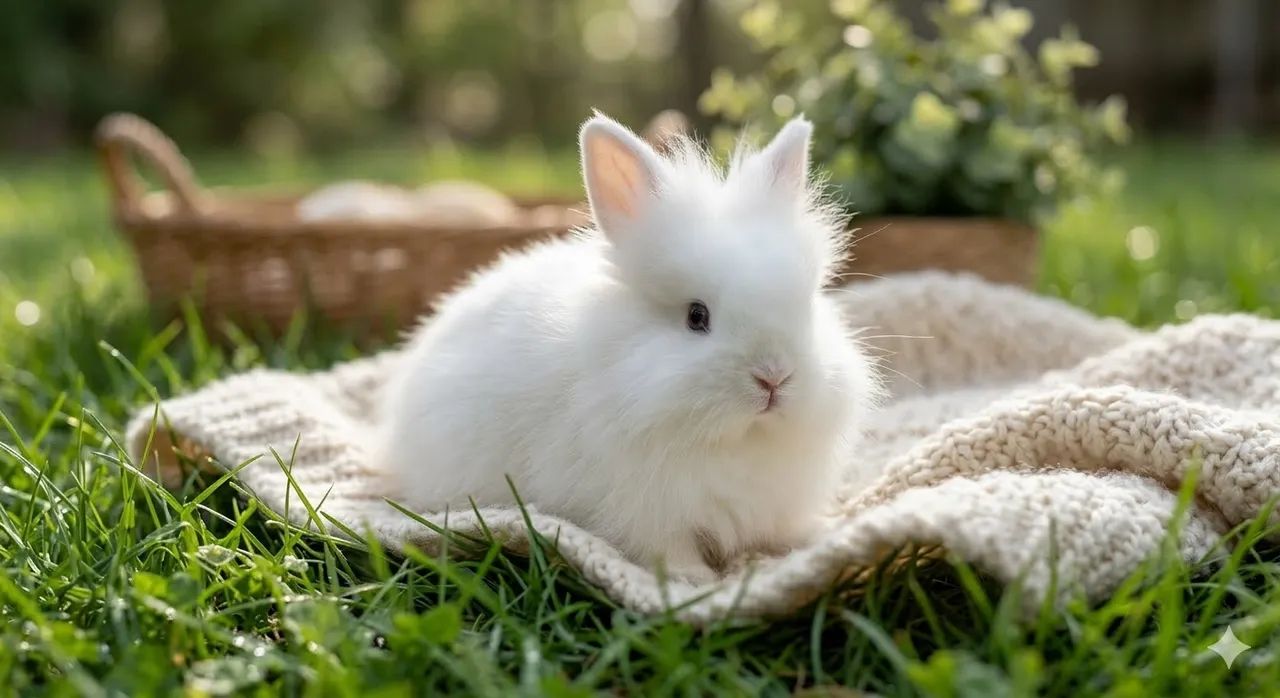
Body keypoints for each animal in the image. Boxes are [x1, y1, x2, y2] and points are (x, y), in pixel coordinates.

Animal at [374, 112, 882, 583]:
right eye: (697, 316)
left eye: (806, 306)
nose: (774, 376)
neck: (736, 440)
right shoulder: (646, 508)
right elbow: (667, 546)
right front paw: (691, 578)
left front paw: (819, 533)